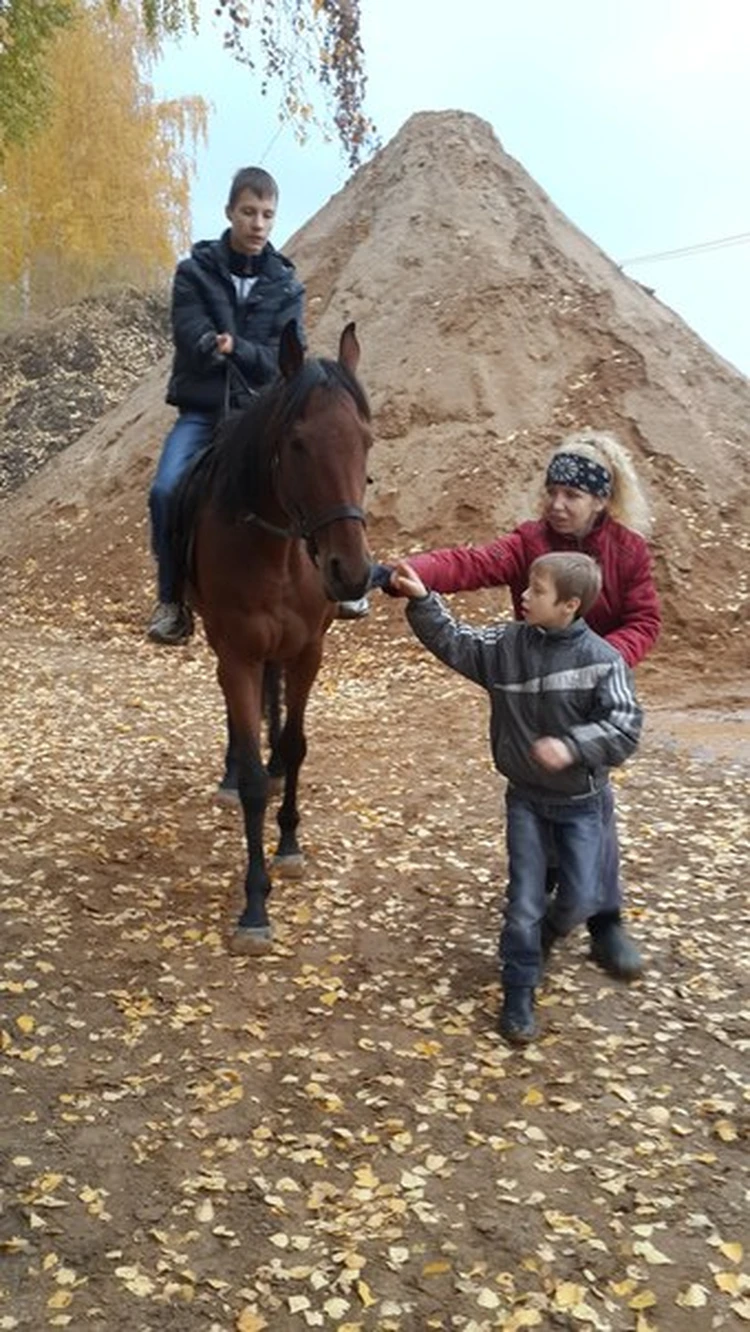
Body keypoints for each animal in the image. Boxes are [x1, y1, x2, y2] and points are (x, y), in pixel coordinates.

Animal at [174, 318, 373, 953]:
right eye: (300, 444)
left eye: (365, 439)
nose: (350, 573)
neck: (277, 549)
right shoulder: (235, 654)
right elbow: (256, 781)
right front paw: (255, 905)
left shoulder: (309, 651)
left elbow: (295, 744)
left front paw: (288, 844)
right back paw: (230, 770)